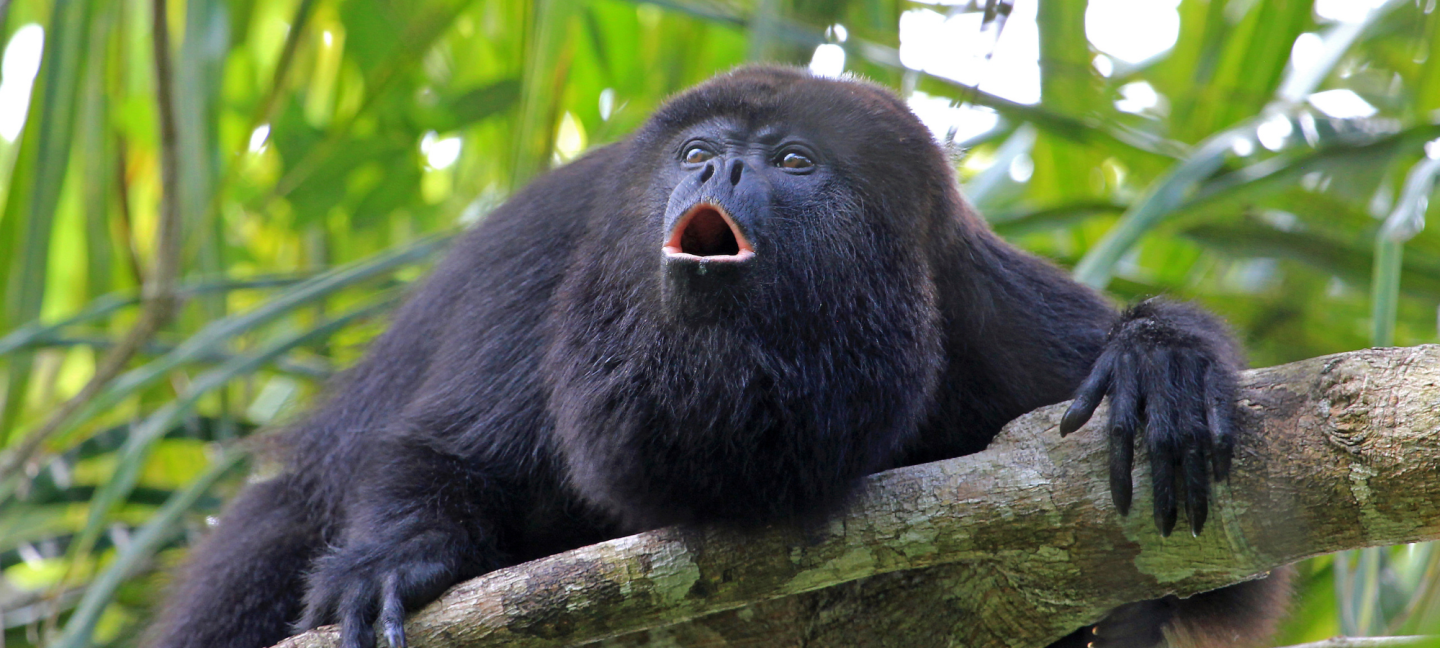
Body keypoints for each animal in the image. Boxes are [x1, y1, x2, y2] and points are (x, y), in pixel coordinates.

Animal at [146, 65, 1290, 648]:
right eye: (698, 153)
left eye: (793, 160)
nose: (724, 168)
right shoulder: (558, 257)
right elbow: (448, 451)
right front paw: (399, 558)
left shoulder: (979, 303)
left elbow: (1219, 582)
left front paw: (1159, 360)